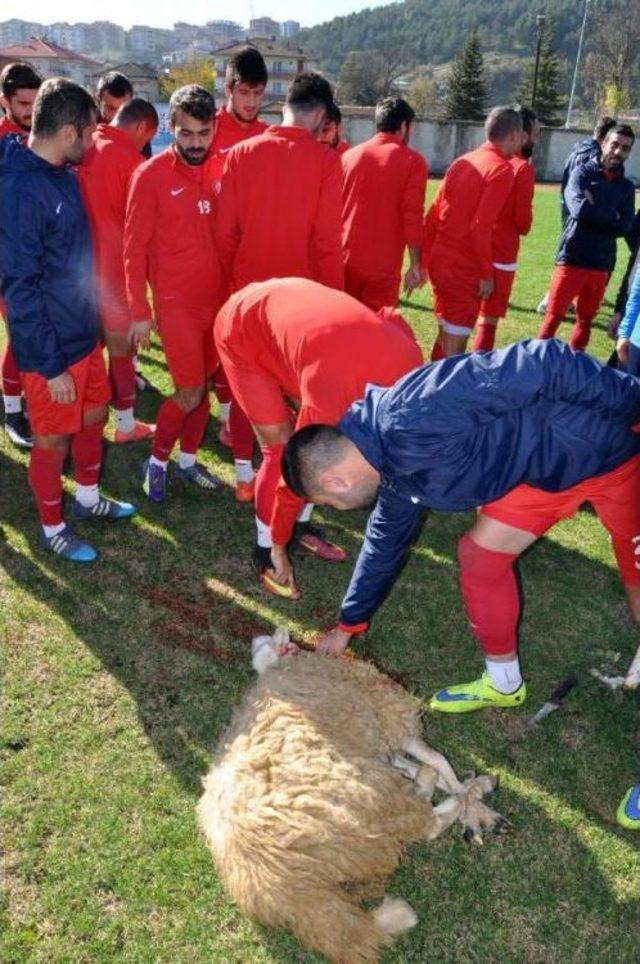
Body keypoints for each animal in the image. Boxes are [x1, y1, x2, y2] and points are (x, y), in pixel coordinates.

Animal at [198, 628, 508, 960]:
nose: (280, 634)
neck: (281, 667)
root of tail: (286, 889)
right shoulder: (391, 723)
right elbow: (441, 763)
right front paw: (470, 796)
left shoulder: (383, 747)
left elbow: (432, 771)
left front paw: (478, 806)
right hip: (370, 795)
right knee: (425, 821)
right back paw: (444, 794)